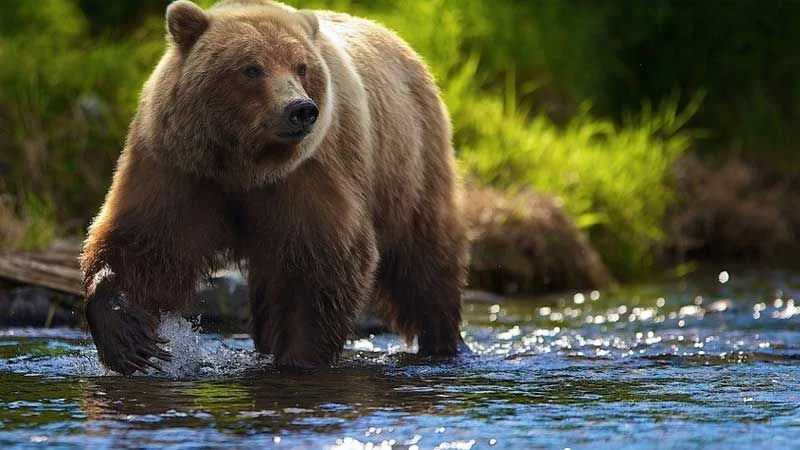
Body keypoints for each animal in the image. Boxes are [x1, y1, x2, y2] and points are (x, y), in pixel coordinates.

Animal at [79, 0, 468, 374]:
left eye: (301, 67)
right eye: (252, 68)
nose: (301, 109)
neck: (244, 165)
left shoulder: (307, 173)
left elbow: (321, 265)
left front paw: (300, 357)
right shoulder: (180, 167)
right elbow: (145, 242)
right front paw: (128, 336)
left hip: (410, 165)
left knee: (425, 259)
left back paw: (442, 342)